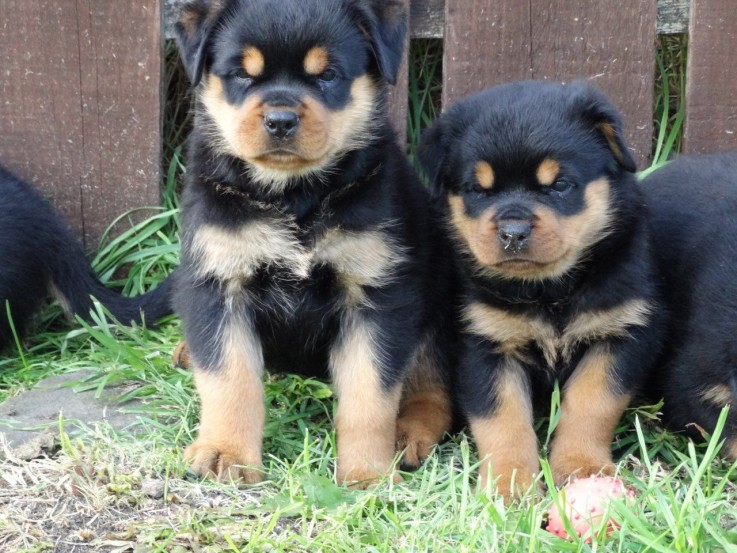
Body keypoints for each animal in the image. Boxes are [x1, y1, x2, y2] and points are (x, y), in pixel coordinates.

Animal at [420, 80, 660, 498]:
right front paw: (508, 484)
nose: (513, 231)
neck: (548, 292)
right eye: (477, 189)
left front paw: (582, 467)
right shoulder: (486, 344)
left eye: (559, 185)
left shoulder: (620, 334)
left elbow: (592, 402)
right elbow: (502, 419)